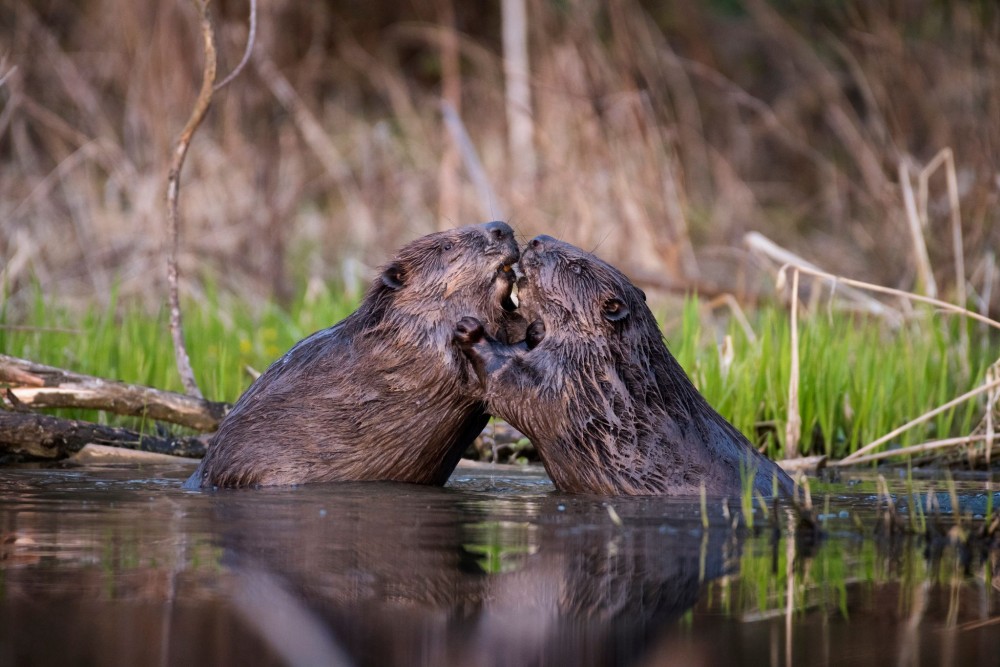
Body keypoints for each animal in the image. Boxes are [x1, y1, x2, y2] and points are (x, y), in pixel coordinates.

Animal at [452, 235, 788, 496]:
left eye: (576, 266)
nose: (535, 240)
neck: (611, 364)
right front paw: (534, 331)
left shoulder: (571, 378)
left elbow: (516, 384)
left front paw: (471, 331)